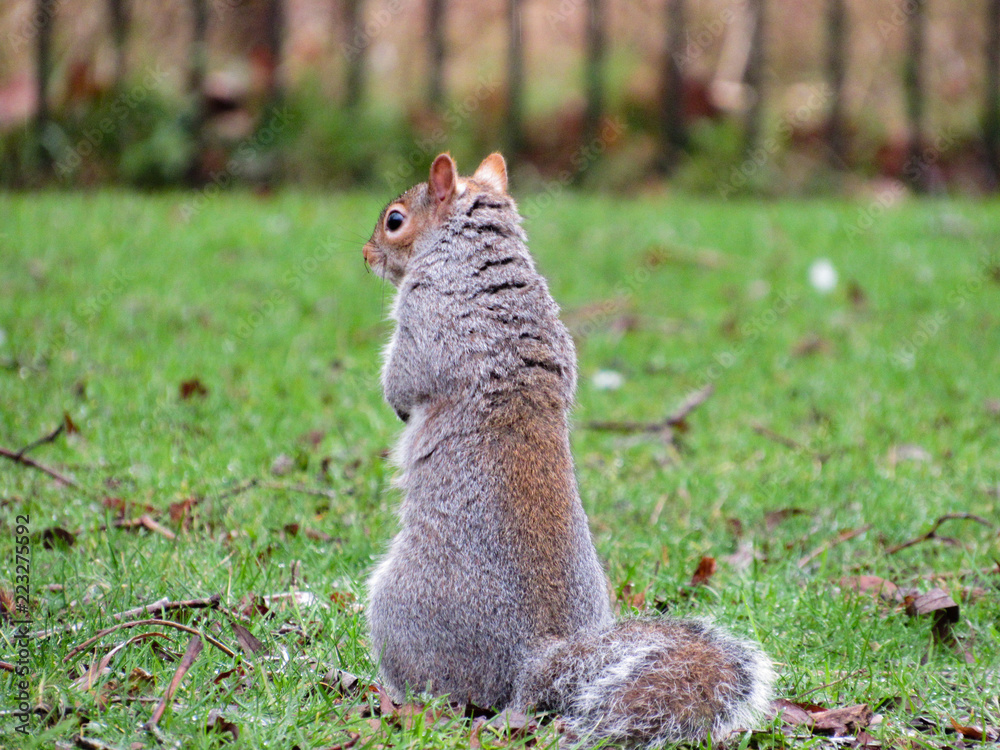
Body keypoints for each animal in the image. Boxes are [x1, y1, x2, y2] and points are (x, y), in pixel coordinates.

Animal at [362, 152, 774, 747]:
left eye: (394, 220)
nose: (366, 253)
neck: (472, 255)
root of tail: (536, 659)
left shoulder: (424, 321)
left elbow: (402, 380)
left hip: (396, 606)